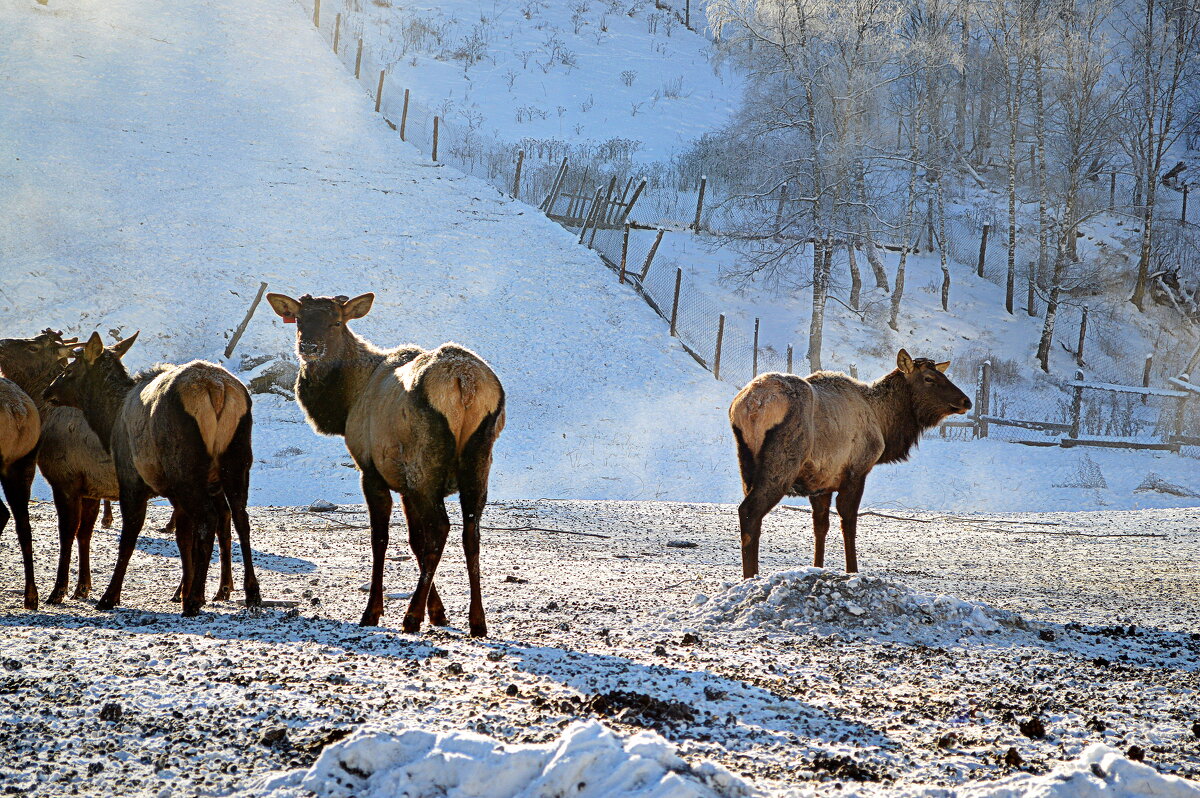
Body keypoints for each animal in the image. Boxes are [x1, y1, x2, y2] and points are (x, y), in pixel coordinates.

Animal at [0, 328, 211, 604]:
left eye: (33, 347)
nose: (1, 343)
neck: (46, 414)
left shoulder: (65, 480)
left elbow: (67, 533)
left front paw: (58, 591)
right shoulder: (91, 487)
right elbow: (84, 533)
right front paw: (82, 587)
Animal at [45, 331, 260, 614]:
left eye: (69, 369)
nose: (47, 391)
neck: (108, 421)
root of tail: (216, 389)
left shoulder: (131, 480)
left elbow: (130, 534)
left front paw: (109, 596)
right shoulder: (173, 494)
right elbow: (183, 537)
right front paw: (183, 591)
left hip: (186, 470)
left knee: (209, 519)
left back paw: (195, 600)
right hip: (237, 463)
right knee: (240, 517)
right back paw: (250, 593)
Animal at [265, 292, 504, 633]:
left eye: (336, 322)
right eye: (299, 319)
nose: (309, 347)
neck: (345, 404)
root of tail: (464, 382)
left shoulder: (372, 471)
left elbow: (381, 538)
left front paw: (373, 612)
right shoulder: (404, 484)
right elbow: (415, 540)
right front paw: (439, 612)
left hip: (424, 466)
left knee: (441, 529)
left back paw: (412, 616)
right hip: (478, 461)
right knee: (470, 533)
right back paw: (477, 620)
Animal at [724, 352, 969, 576]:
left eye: (942, 374)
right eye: (929, 378)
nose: (966, 401)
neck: (883, 423)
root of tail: (752, 405)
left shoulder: (821, 481)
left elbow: (820, 526)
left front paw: (817, 567)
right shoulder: (856, 471)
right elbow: (849, 521)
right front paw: (852, 570)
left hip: (745, 463)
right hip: (783, 462)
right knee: (749, 510)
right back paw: (751, 577)